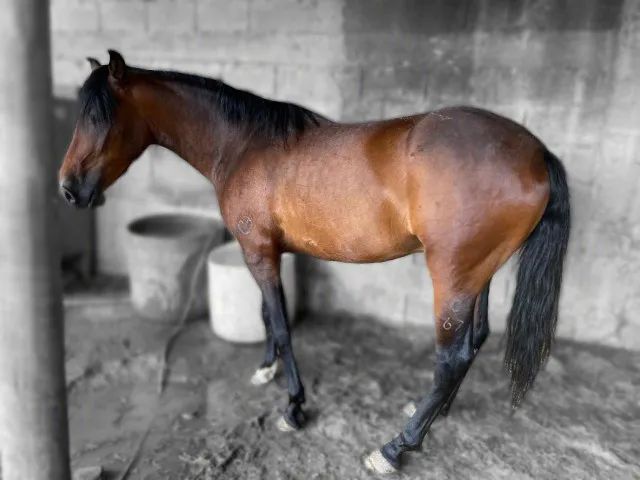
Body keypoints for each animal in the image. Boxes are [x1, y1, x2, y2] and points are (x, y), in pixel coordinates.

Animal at [58, 50, 570, 474]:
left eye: (98, 116)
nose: (68, 189)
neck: (244, 145)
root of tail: (536, 153)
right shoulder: (262, 252)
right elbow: (267, 316)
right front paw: (265, 370)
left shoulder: (259, 252)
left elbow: (283, 325)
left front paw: (294, 407)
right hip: (477, 275)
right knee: (475, 341)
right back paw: (433, 414)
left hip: (452, 277)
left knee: (452, 356)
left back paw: (395, 447)